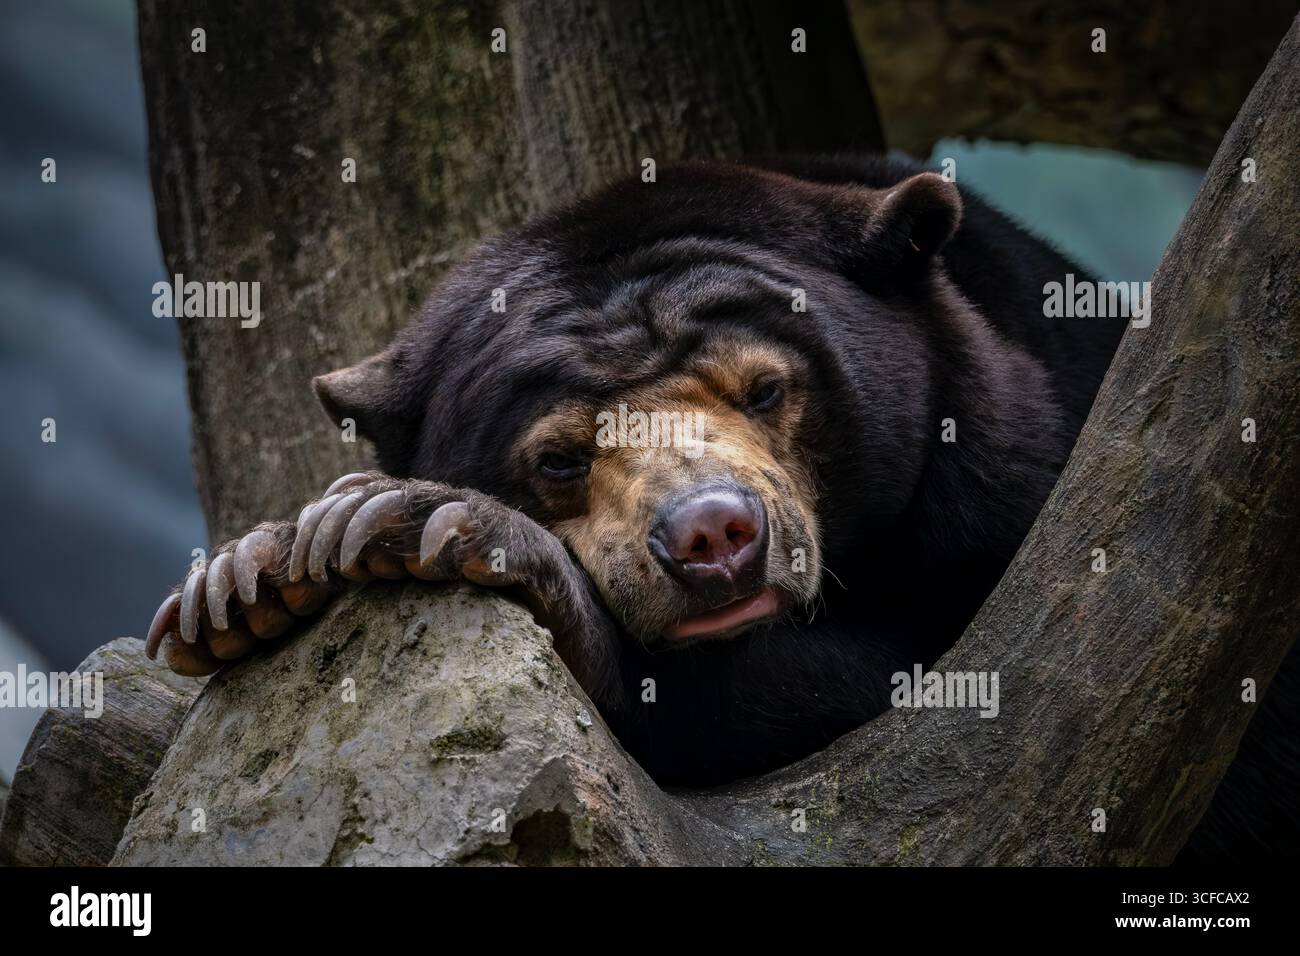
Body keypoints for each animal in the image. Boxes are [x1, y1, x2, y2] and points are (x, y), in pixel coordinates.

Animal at [147, 153, 1128, 786]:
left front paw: (415, 524)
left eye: (766, 388)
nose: (714, 535)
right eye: (558, 456)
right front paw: (244, 583)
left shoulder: (996, 484)